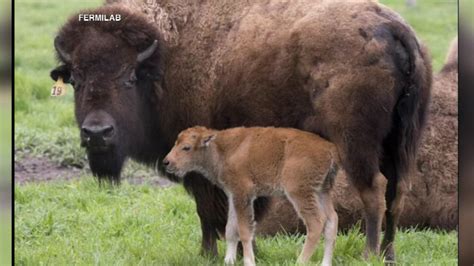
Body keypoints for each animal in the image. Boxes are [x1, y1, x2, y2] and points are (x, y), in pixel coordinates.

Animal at [165, 127, 338, 266]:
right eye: (175, 143)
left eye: (186, 147)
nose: (167, 162)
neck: (221, 149)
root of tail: (330, 148)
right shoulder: (233, 196)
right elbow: (230, 229)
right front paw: (229, 261)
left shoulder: (243, 194)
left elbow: (244, 230)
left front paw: (248, 261)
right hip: (322, 192)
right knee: (332, 220)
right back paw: (325, 263)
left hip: (300, 193)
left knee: (316, 222)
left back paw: (300, 261)